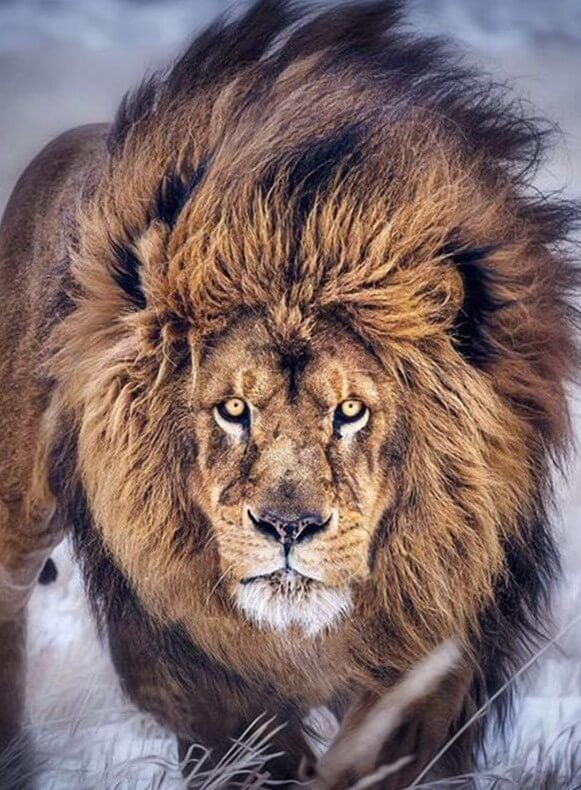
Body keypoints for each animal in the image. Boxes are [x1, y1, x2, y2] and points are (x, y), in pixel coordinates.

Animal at [0, 1, 579, 786]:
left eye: (350, 411)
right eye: (233, 409)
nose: (287, 528)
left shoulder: (440, 638)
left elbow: (376, 749)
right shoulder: (174, 649)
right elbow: (252, 747)